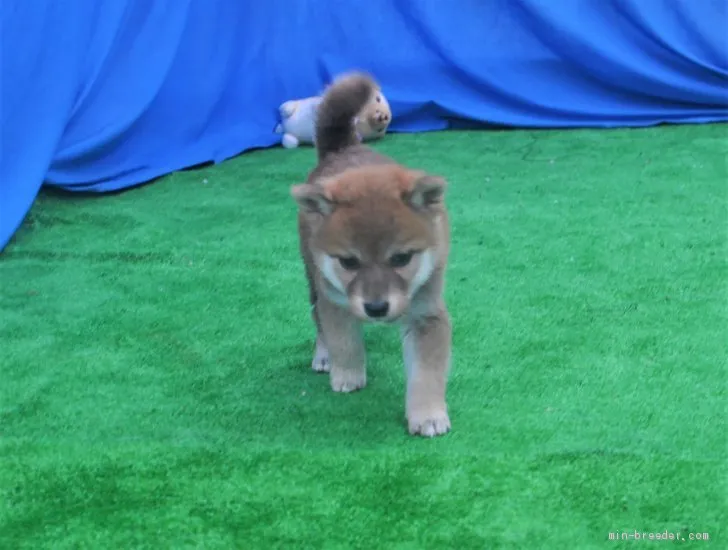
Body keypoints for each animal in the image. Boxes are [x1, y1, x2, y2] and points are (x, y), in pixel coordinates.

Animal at [288, 73, 450, 438]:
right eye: (349, 262)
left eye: (402, 258)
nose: (376, 308)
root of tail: (344, 149)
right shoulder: (334, 299)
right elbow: (343, 339)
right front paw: (347, 374)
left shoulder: (427, 314)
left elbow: (427, 373)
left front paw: (428, 415)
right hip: (312, 275)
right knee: (317, 318)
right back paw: (323, 356)